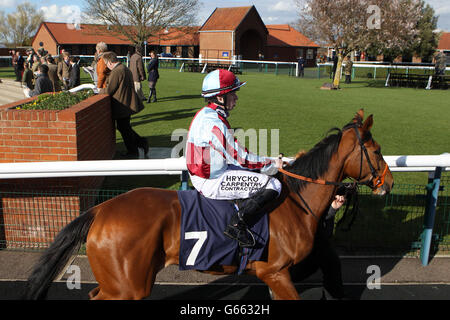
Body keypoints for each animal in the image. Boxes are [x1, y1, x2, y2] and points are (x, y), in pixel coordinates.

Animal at [24, 110, 392, 300]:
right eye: (376, 151)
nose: (387, 182)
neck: (295, 203)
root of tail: (101, 209)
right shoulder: (275, 272)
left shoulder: (278, 276)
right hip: (127, 288)